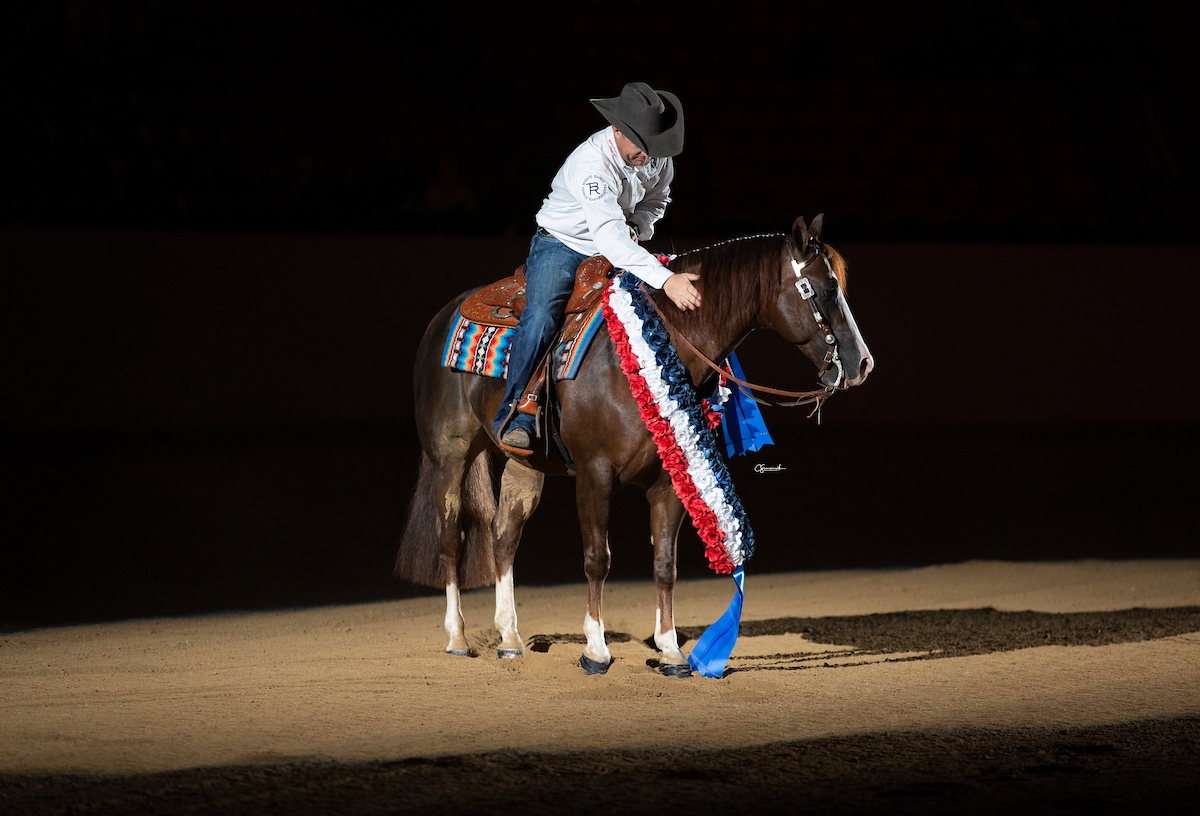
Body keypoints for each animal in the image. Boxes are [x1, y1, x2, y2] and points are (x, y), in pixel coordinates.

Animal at [395, 214, 873, 675]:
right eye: (825, 289)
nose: (863, 363)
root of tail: (446, 314)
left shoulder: (671, 480)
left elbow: (665, 563)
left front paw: (671, 651)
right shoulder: (594, 475)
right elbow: (597, 558)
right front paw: (596, 649)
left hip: (524, 462)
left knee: (504, 536)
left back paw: (510, 639)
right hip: (450, 455)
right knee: (451, 536)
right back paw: (458, 637)